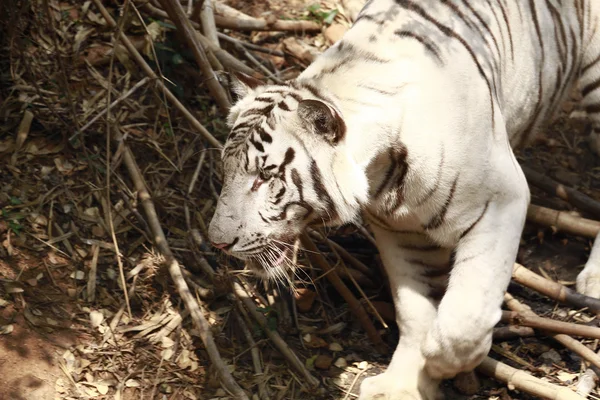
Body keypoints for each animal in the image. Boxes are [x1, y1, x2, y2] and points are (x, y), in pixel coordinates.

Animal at [207, 1, 600, 398]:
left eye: (265, 176)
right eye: (227, 169)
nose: (217, 242)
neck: (382, 169)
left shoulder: (501, 200)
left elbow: (464, 318)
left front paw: (443, 362)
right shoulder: (401, 231)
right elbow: (414, 311)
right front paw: (402, 385)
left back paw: (593, 280)